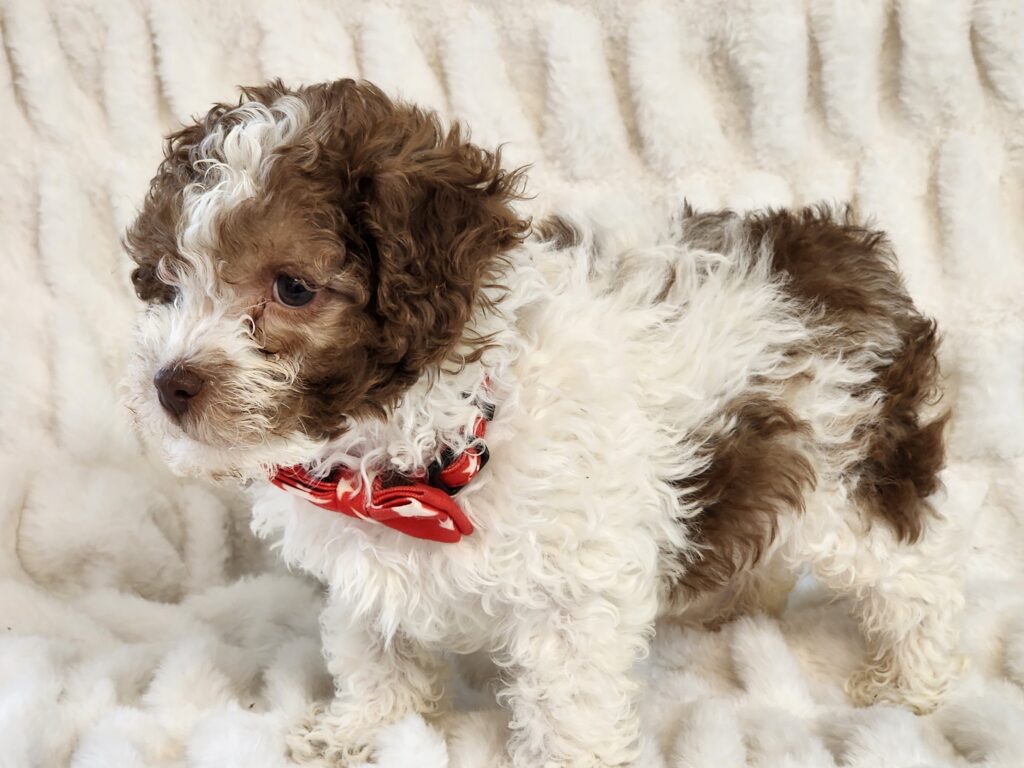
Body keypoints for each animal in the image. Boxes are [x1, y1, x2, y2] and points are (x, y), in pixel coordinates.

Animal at [124, 79, 964, 767]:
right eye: (169, 283)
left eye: (294, 288)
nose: (170, 385)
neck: (432, 454)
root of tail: (848, 251)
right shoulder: (369, 564)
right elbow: (374, 649)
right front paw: (362, 730)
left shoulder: (578, 588)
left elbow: (569, 700)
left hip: (852, 472)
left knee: (916, 578)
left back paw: (910, 681)